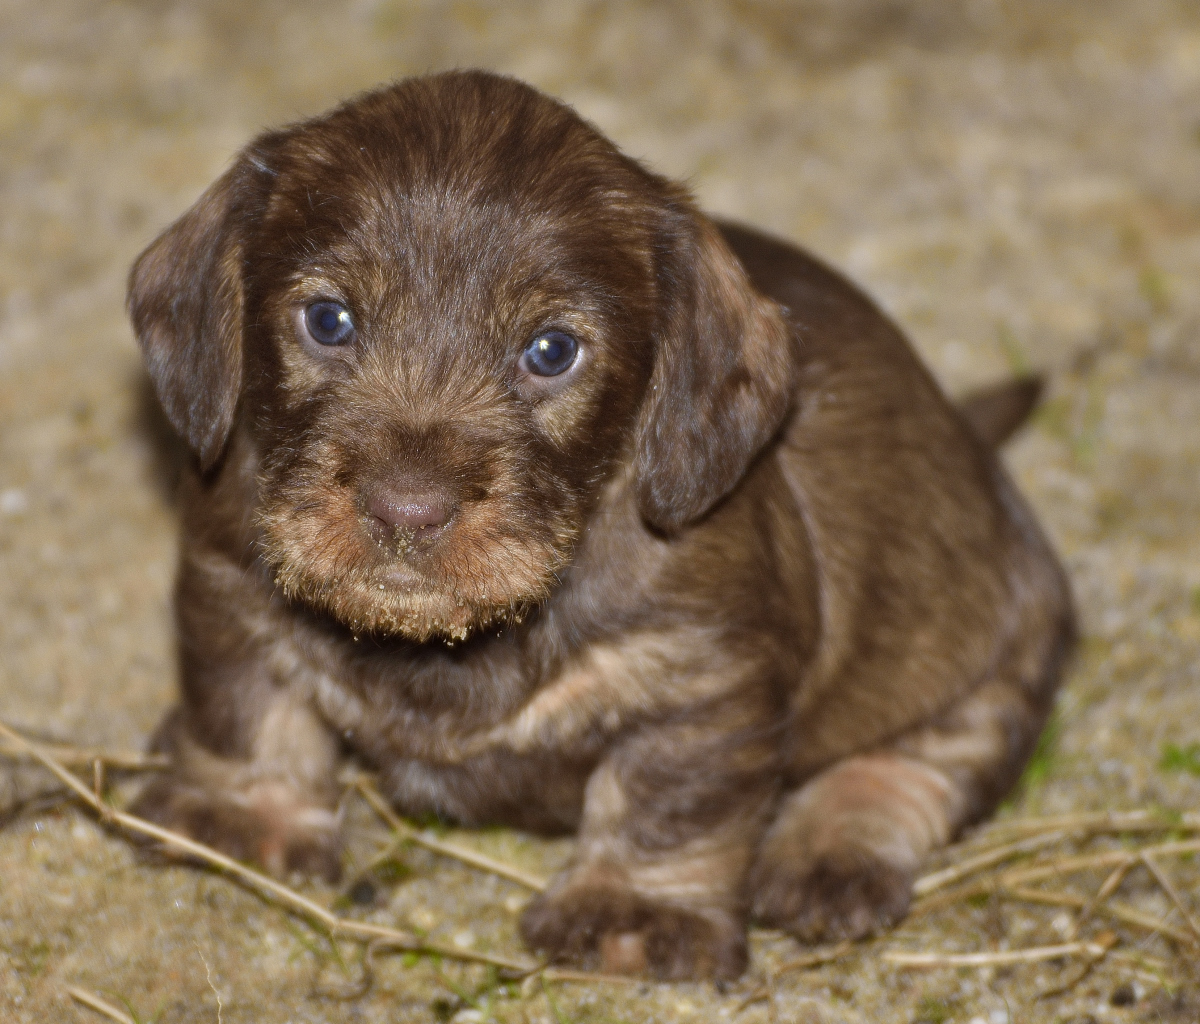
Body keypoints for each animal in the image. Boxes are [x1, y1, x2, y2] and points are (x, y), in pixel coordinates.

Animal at [127, 70, 1074, 980]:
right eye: (328, 320)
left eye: (551, 351)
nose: (406, 511)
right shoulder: (229, 590)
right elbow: (246, 707)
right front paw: (239, 815)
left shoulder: (699, 685)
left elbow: (664, 803)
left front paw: (634, 912)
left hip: (997, 643)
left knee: (929, 757)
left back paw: (833, 848)